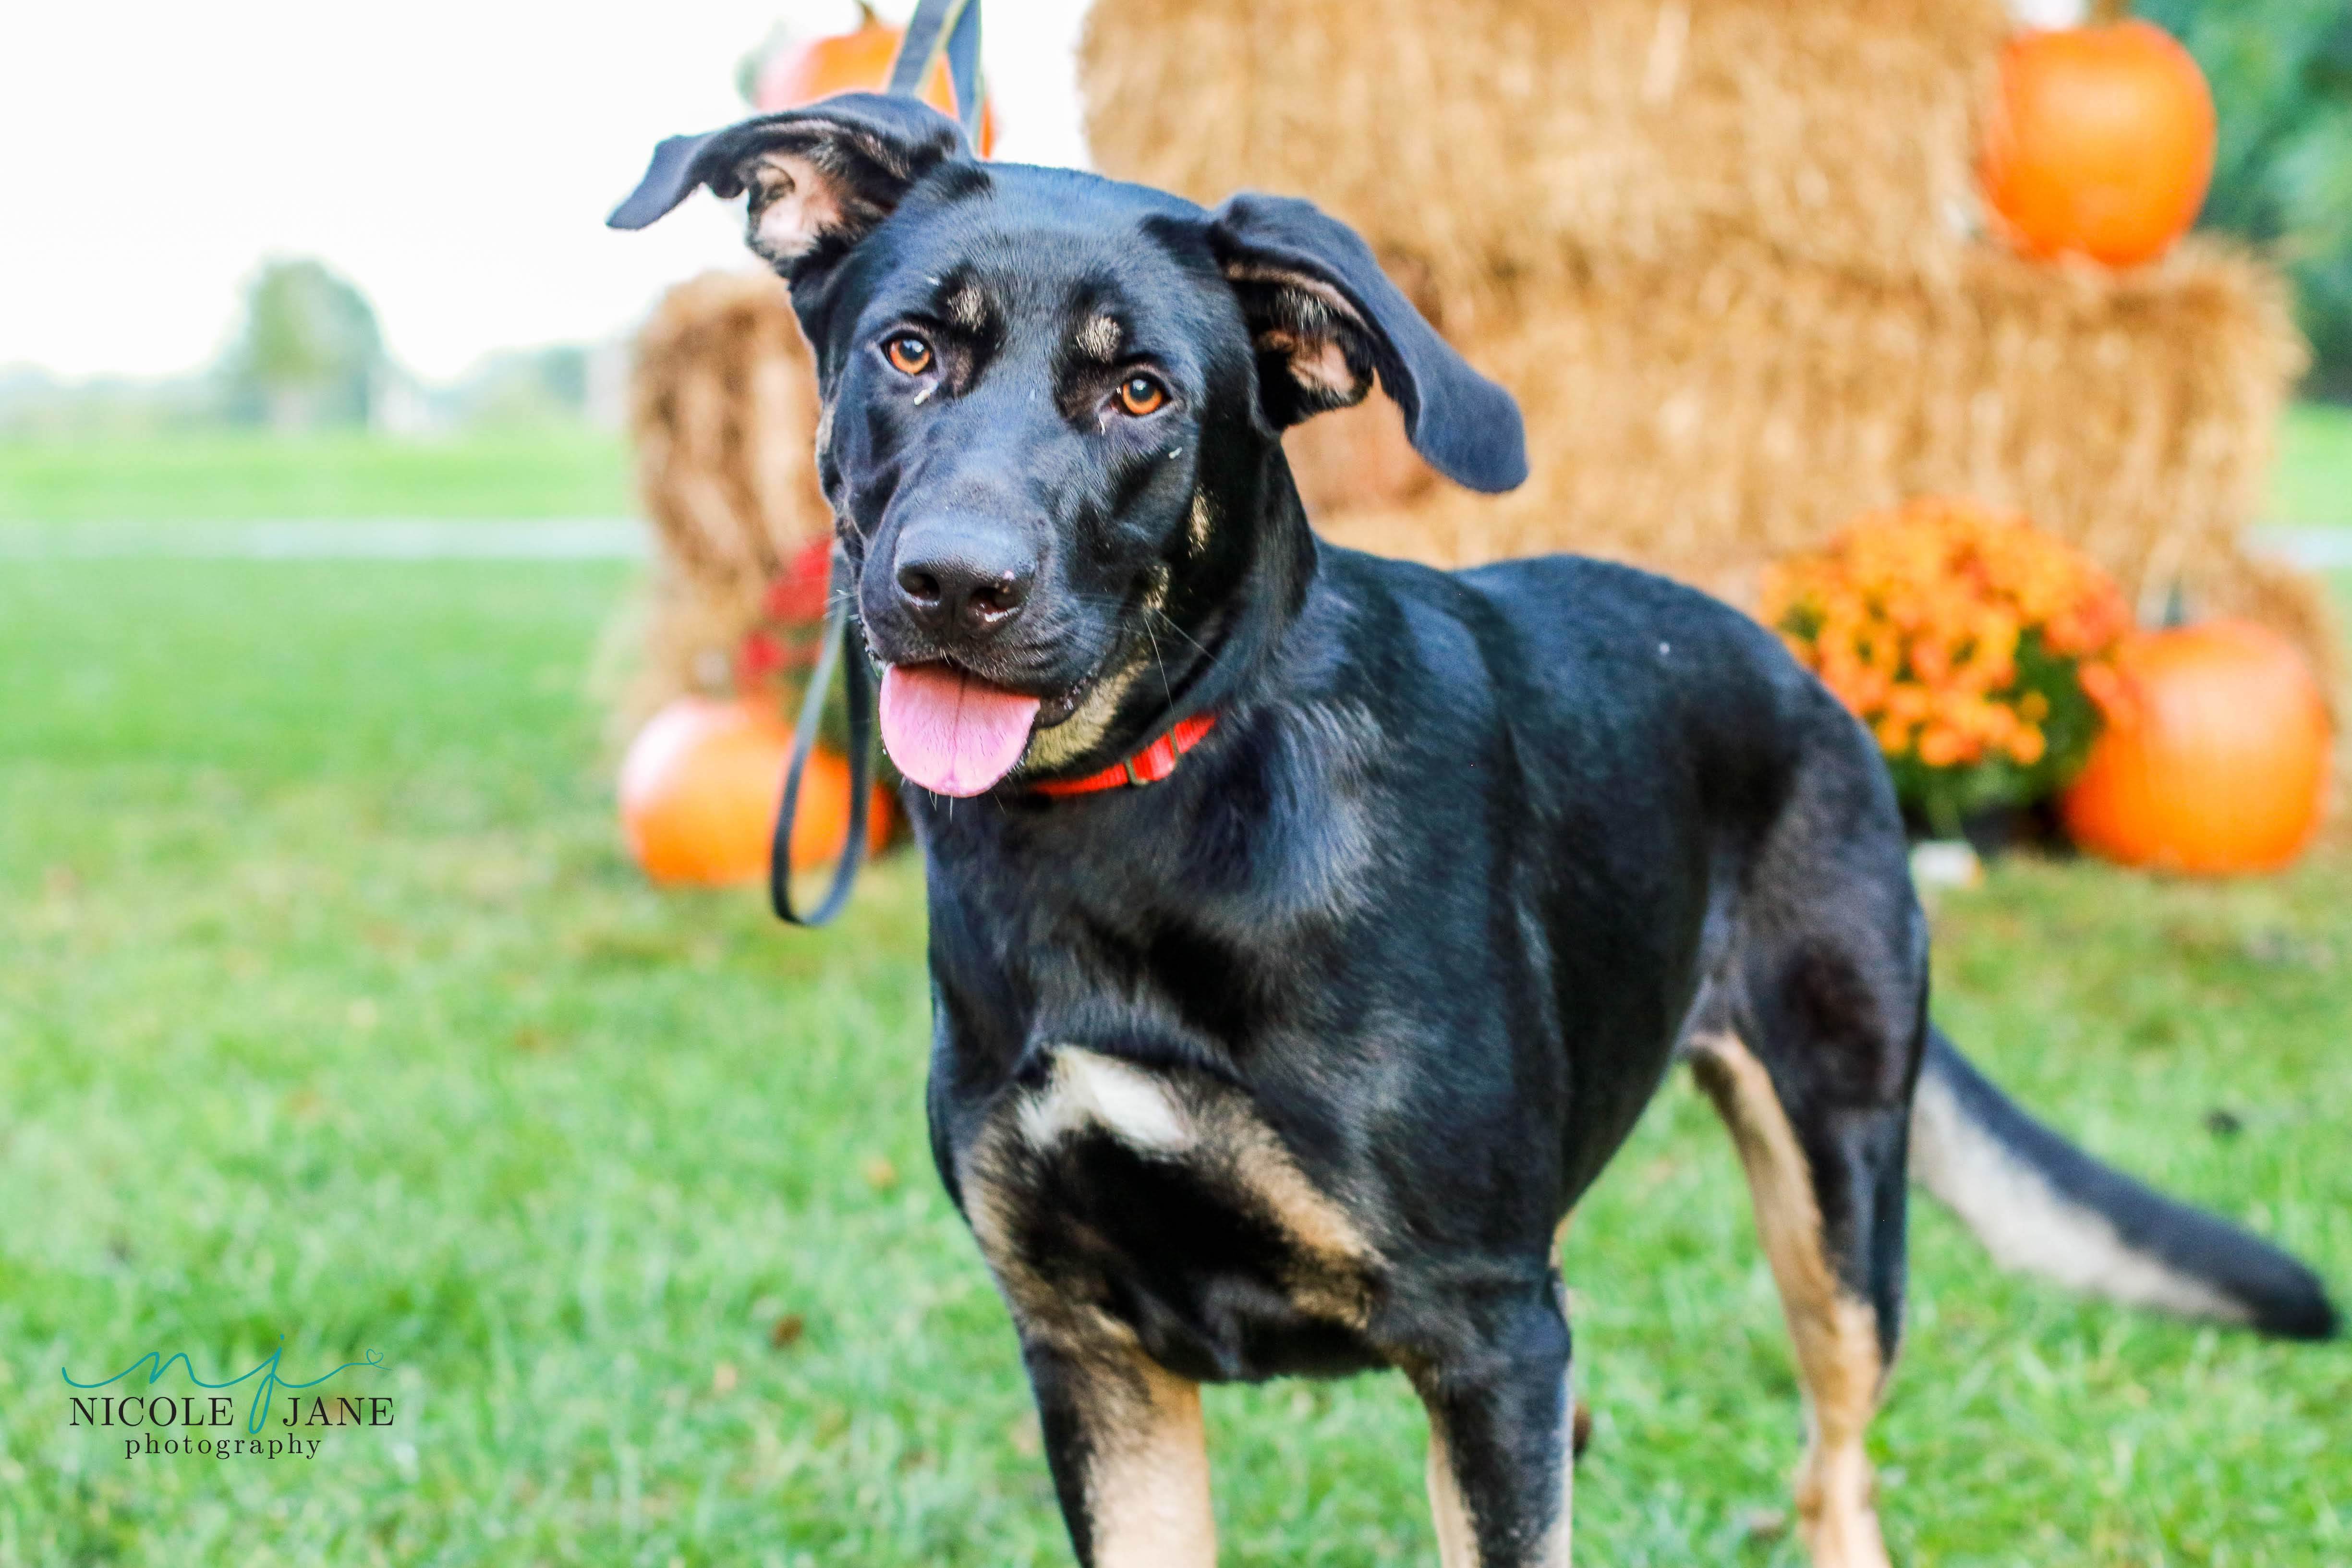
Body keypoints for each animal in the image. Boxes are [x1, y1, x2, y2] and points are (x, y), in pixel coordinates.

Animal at [616, 98, 2342, 1568]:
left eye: (1141, 393)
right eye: (908, 349)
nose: (953, 587)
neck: (1147, 806)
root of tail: (1798, 666)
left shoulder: (1477, 1328)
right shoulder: (1089, 1347)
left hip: (1836, 1176)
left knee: (1831, 1460)